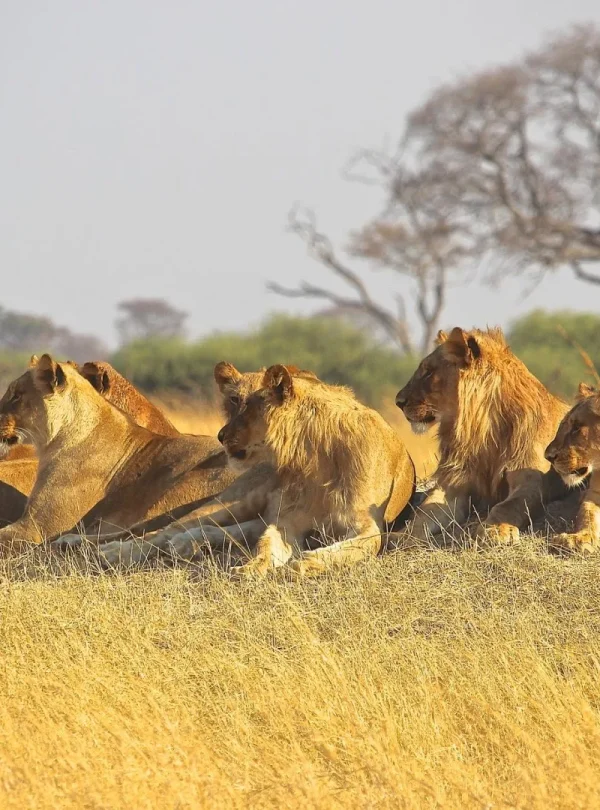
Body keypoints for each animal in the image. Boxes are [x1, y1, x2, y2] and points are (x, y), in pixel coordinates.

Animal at [165, 364, 415, 578]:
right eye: (234, 401)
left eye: (249, 407)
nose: (220, 436)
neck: (316, 457)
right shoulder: (289, 520)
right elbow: (266, 545)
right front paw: (252, 568)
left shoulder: (367, 525)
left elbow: (349, 548)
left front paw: (302, 563)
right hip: (237, 502)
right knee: (173, 527)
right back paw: (179, 543)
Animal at [393, 326, 569, 546]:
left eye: (428, 372)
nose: (398, 401)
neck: (482, 431)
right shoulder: (454, 483)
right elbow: (425, 512)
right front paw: (403, 536)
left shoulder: (533, 480)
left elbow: (509, 506)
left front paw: (495, 530)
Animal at [544, 383, 600, 552]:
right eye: (563, 424)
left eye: (576, 427)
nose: (547, 456)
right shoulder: (594, 494)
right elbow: (587, 513)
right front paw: (579, 538)